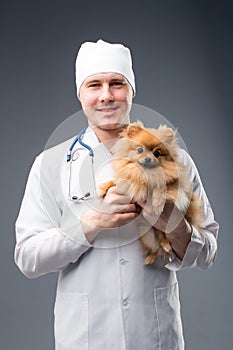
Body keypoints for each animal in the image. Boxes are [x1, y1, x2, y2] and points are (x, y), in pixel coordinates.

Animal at [97, 121, 203, 264]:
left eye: (157, 153)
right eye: (140, 150)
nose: (147, 159)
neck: (145, 173)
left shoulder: (175, 185)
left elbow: (161, 187)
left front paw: (157, 205)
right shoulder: (129, 182)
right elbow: (115, 182)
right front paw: (102, 189)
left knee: (165, 239)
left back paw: (166, 245)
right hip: (147, 234)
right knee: (156, 247)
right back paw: (150, 257)